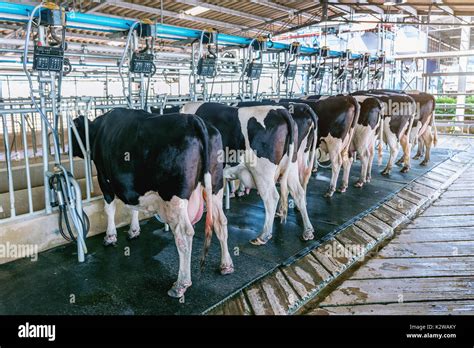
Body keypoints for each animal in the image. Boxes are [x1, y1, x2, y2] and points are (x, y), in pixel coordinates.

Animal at [71, 108, 232, 296]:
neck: (98, 130)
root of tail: (195, 120)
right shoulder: (131, 187)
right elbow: (133, 208)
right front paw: (134, 231)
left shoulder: (104, 179)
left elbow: (109, 208)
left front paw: (110, 237)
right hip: (215, 186)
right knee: (220, 222)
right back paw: (226, 265)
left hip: (174, 196)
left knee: (184, 233)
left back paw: (181, 284)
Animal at [181, 102, 314, 246]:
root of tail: (279, 110)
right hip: (292, 165)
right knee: (298, 192)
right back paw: (308, 231)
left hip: (262, 172)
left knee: (272, 197)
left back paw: (263, 235)